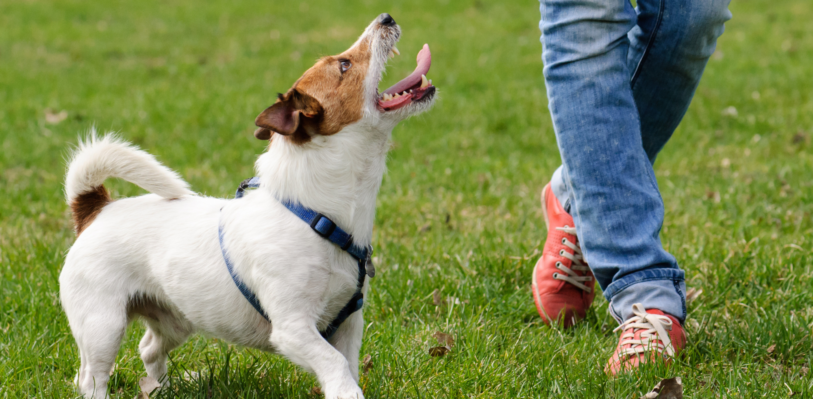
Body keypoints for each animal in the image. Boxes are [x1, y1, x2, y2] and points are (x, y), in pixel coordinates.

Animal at [59, 13, 434, 399]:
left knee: (148, 349)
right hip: (102, 325)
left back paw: (159, 387)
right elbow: (335, 364)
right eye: (344, 64)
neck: (317, 214)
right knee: (91, 377)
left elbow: (347, 365)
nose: (386, 17)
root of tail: (96, 210)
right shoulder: (293, 328)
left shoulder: (348, 324)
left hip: (175, 319)